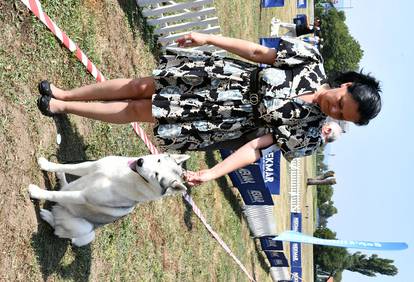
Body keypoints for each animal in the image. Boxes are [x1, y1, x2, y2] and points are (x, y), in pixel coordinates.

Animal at [29, 154, 189, 247]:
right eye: (158, 160)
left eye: (156, 175)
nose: (140, 161)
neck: (124, 176)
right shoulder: (90, 166)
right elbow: (67, 166)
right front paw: (46, 164)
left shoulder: (83, 196)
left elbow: (54, 195)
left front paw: (36, 192)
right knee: (64, 188)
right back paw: (61, 177)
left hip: (85, 228)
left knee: (58, 228)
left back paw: (48, 216)